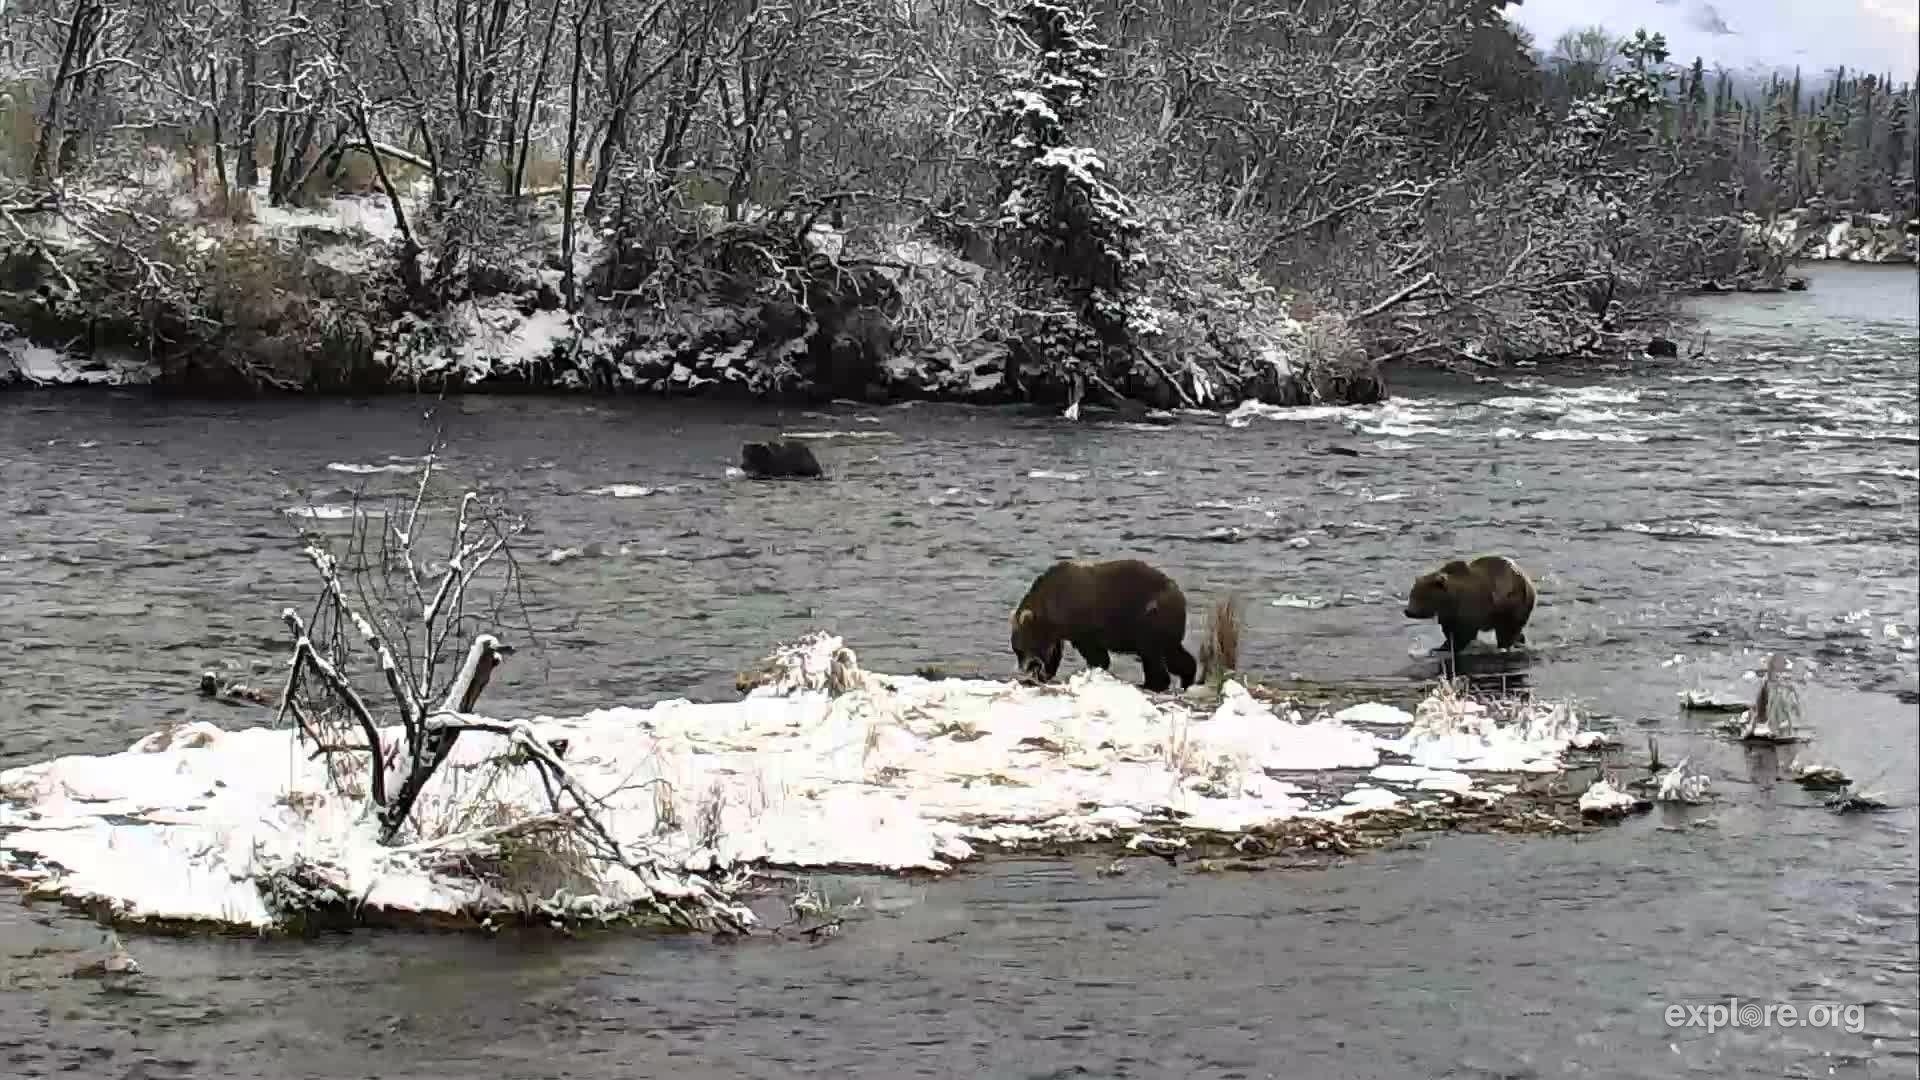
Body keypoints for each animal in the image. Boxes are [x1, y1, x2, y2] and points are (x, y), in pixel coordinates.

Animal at [1013, 553, 1190, 687]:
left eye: (1020, 649)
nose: (1024, 669)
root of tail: (1180, 595)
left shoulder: (1082, 622)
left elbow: (1095, 652)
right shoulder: (1059, 630)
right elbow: (1054, 651)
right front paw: (1045, 674)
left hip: (1148, 617)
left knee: (1152, 655)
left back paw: (1151, 684)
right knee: (1174, 655)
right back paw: (1186, 679)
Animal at [1405, 549, 1536, 653]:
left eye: (1422, 597)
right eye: (1412, 594)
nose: (1408, 611)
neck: (1449, 599)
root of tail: (1528, 581)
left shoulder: (1470, 607)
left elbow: (1465, 632)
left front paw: (1454, 647)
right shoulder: (1449, 613)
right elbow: (1449, 630)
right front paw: (1444, 645)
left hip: (1511, 602)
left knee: (1506, 630)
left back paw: (1504, 646)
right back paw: (1520, 640)